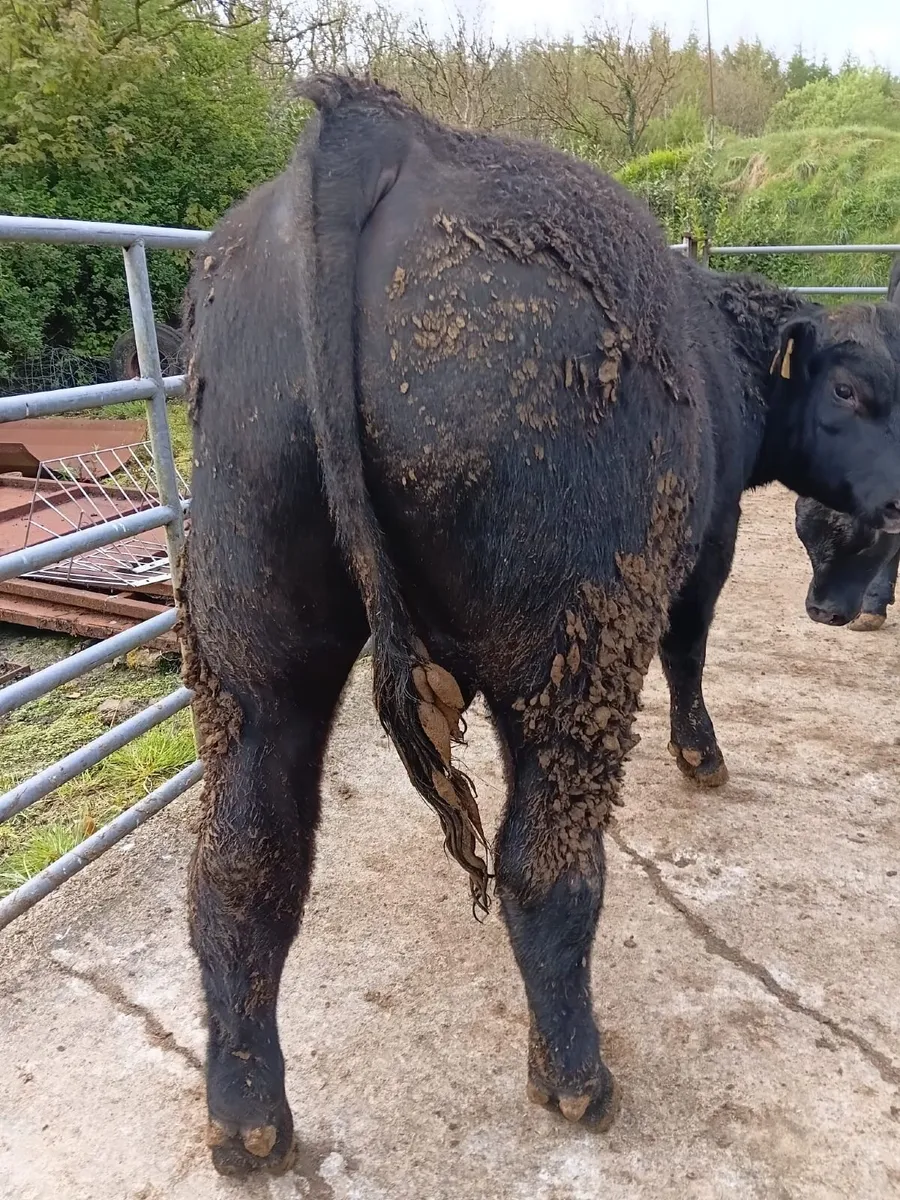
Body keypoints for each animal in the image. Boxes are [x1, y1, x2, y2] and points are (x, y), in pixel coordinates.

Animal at [179, 76, 900, 1176]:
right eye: (855, 391)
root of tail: (378, 128)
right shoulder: (708, 542)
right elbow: (691, 648)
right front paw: (702, 756)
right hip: (575, 642)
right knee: (544, 865)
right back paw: (575, 1079)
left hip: (250, 639)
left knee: (242, 862)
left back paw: (249, 1119)